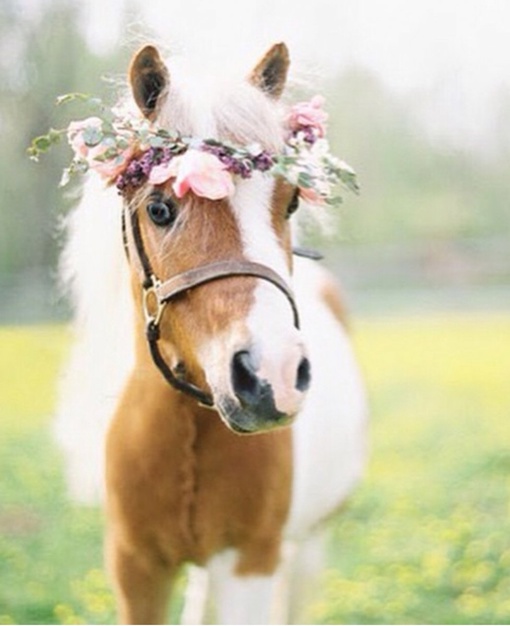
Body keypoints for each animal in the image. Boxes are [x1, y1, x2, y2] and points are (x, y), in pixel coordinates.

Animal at [54, 41, 366, 620]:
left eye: (290, 202)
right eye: (158, 208)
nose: (273, 375)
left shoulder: (251, 562)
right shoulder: (136, 568)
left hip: (304, 545)